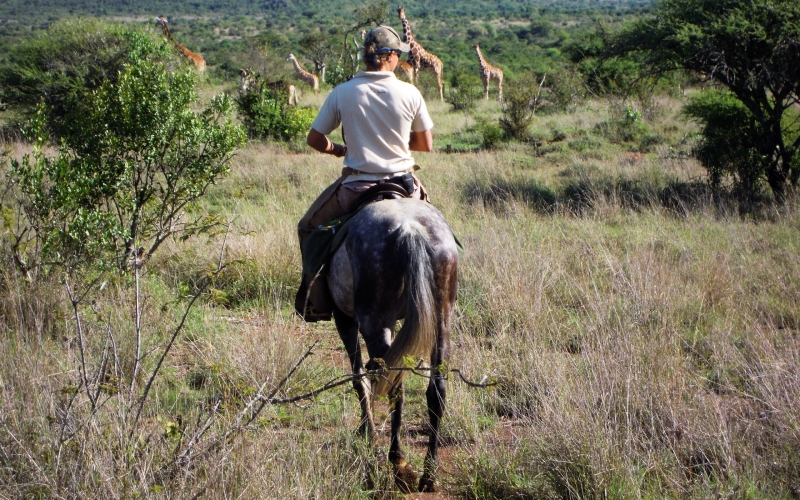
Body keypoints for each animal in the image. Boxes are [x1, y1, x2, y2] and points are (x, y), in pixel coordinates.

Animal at [328, 197, 460, 490]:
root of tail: (410, 228)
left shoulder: (344, 319)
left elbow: (359, 378)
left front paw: (367, 432)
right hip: (441, 318)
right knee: (436, 389)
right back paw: (429, 473)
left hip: (374, 320)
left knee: (392, 384)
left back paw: (398, 462)